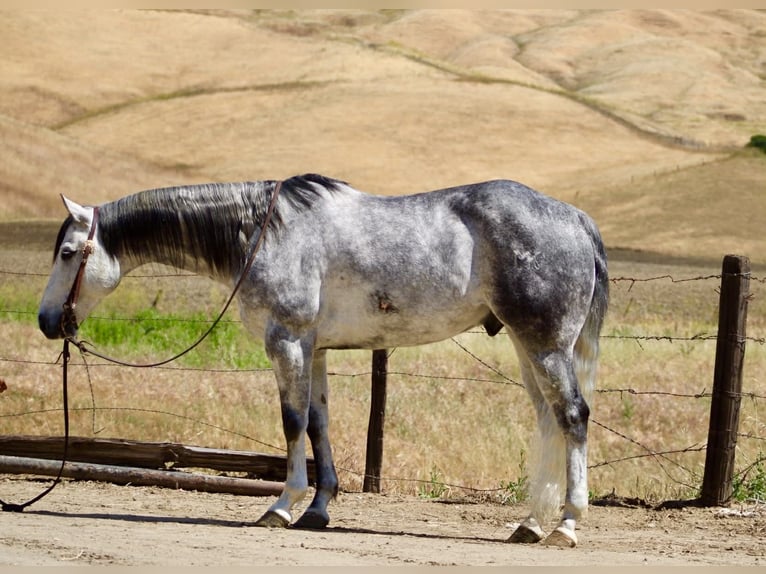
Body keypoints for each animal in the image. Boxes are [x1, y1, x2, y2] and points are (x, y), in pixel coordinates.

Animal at [38, 173, 608, 547]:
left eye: (67, 253)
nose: (47, 321)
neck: (265, 232)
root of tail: (576, 219)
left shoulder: (286, 341)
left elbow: (291, 422)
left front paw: (281, 505)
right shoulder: (312, 349)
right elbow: (317, 424)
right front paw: (318, 507)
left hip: (545, 344)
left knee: (573, 416)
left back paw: (566, 524)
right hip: (526, 345)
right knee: (549, 421)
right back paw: (530, 523)